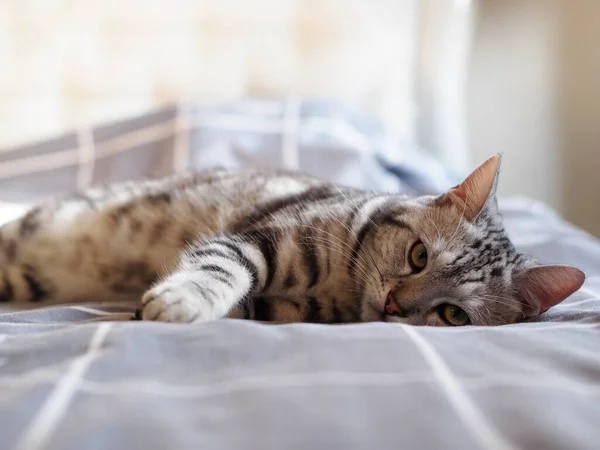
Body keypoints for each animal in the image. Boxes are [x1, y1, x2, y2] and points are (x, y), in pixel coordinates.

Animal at [0, 153, 584, 326]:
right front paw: (183, 299)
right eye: (419, 255)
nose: (395, 305)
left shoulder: (279, 305)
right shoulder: (254, 239)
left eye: (453, 315)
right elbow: (218, 269)